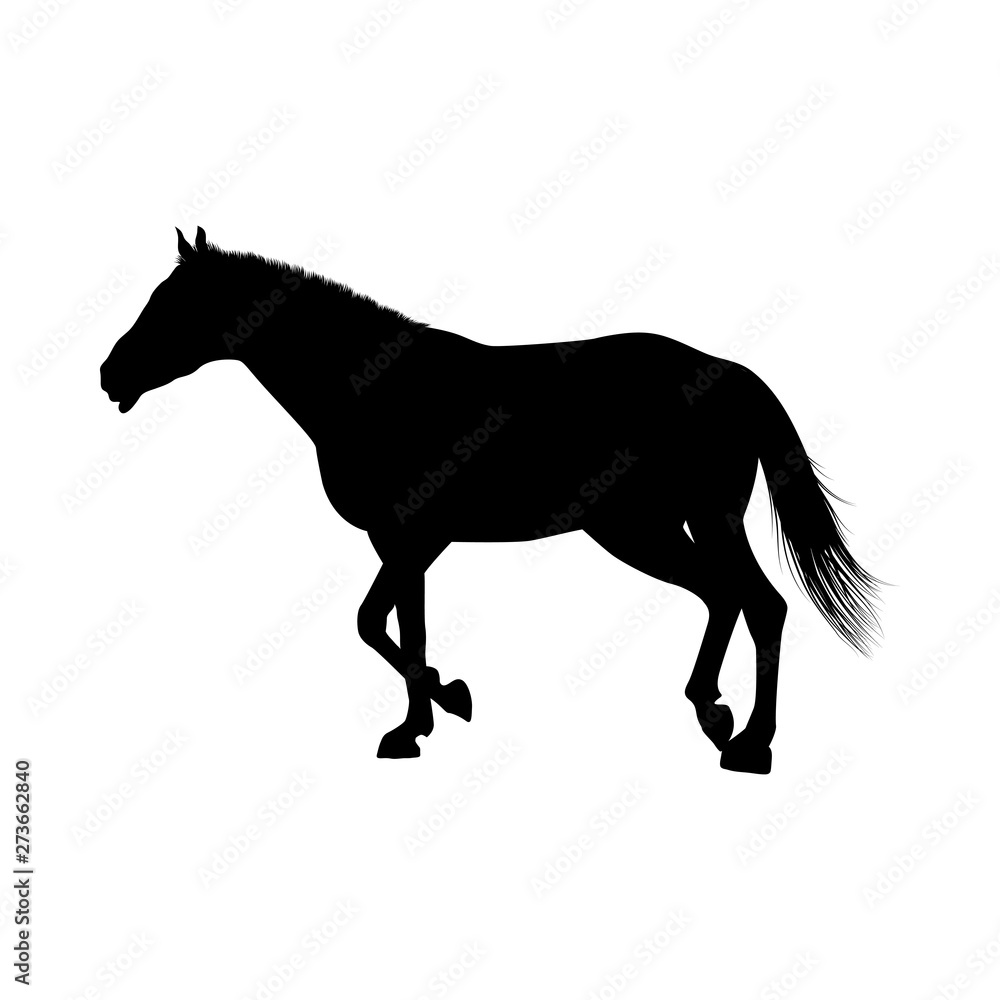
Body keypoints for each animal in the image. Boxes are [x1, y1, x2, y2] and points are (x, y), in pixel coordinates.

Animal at [100, 227, 881, 773]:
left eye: (172, 306)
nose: (110, 376)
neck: (374, 389)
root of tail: (731, 374)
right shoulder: (408, 543)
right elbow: (402, 627)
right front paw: (417, 725)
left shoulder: (410, 539)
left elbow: (371, 623)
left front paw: (442, 703)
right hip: (661, 527)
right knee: (728, 598)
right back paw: (718, 718)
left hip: (671, 525)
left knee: (756, 604)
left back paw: (747, 742)